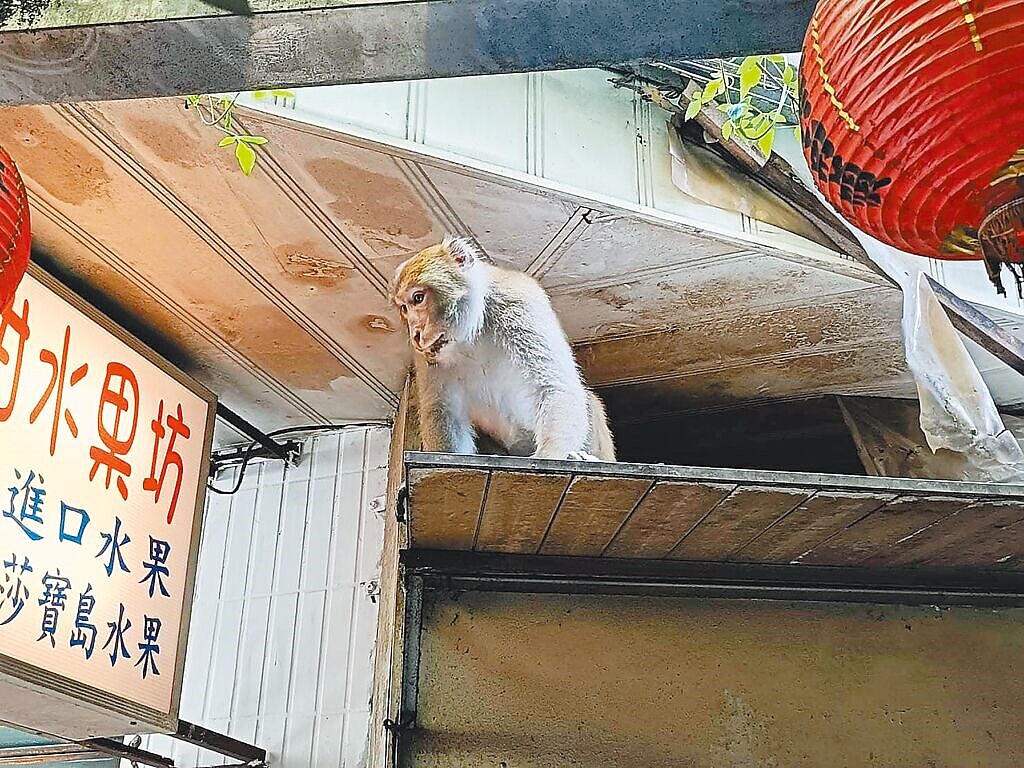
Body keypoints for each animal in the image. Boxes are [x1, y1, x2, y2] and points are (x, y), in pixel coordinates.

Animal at [391, 236, 614, 462]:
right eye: (404, 308)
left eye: (418, 298)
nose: (415, 333)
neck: (471, 336)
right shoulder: (424, 356)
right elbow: (443, 410)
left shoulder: (517, 305)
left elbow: (555, 386)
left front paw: (551, 454)